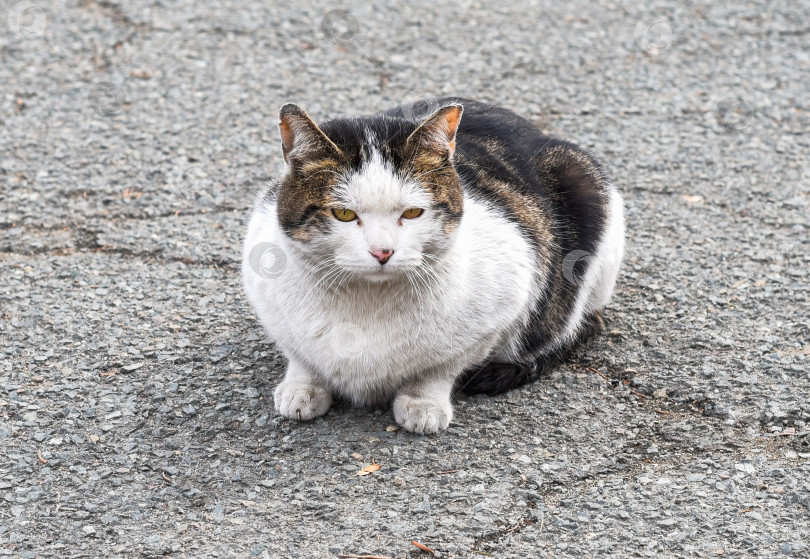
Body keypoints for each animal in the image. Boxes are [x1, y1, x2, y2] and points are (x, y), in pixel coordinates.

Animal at [241, 98, 624, 436]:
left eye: (412, 213)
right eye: (344, 214)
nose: (383, 252)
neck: (367, 301)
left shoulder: (507, 297)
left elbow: (443, 365)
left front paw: (423, 401)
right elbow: (299, 351)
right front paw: (303, 385)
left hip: (589, 193)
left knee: (582, 324)